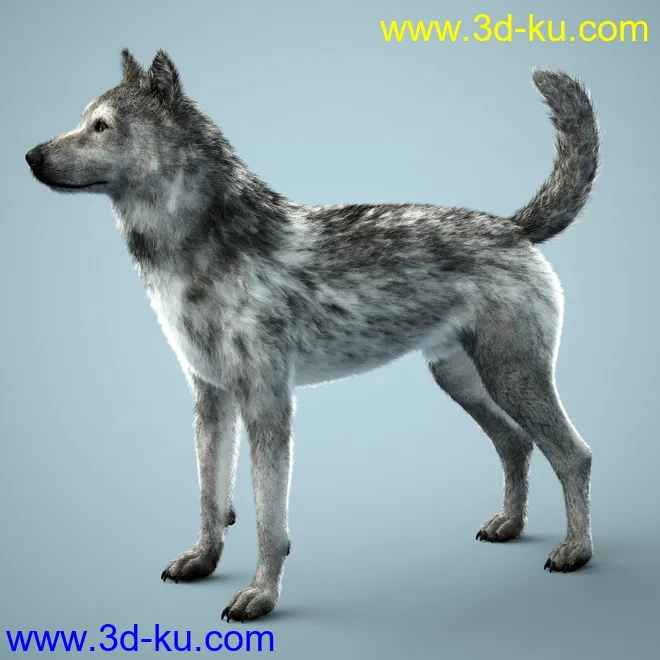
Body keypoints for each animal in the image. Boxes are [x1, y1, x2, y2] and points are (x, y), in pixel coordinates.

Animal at [26, 49, 599, 621]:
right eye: (84, 120)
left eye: (102, 127)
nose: (30, 155)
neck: (200, 248)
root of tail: (513, 227)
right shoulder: (210, 401)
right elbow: (211, 501)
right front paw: (202, 561)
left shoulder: (268, 405)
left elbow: (267, 521)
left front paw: (260, 596)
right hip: (463, 382)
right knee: (516, 444)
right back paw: (509, 526)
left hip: (511, 379)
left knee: (574, 455)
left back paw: (576, 550)